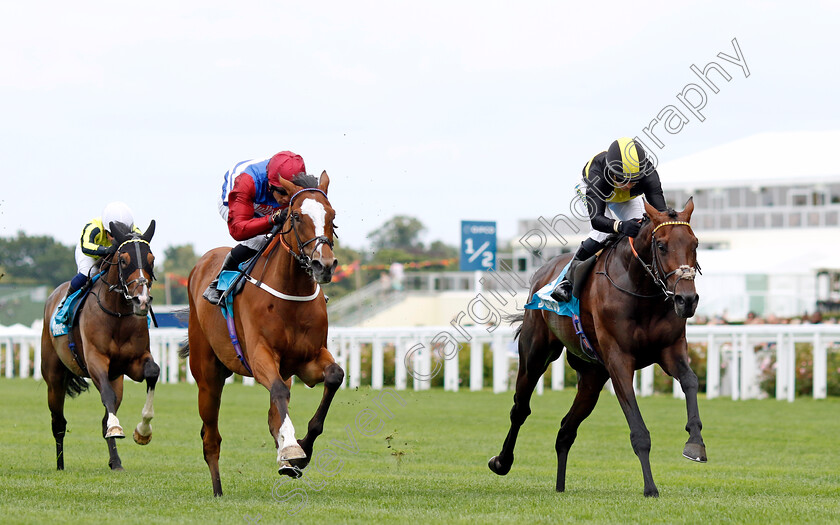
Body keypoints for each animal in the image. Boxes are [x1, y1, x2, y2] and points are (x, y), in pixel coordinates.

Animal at [40, 220, 159, 470]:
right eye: (123, 260)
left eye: (151, 259)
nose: (141, 301)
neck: (117, 315)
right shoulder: (95, 360)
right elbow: (106, 395)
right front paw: (117, 428)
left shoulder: (133, 362)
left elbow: (153, 372)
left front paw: (143, 431)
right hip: (54, 378)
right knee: (58, 422)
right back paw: (60, 465)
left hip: (117, 378)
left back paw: (115, 461)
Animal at [184, 172, 342, 496]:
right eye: (296, 216)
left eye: (332, 216)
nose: (323, 264)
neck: (291, 295)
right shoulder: (260, 357)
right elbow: (279, 392)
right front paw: (293, 449)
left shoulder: (308, 360)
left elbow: (334, 376)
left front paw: (300, 452)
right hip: (207, 377)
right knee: (211, 437)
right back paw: (218, 490)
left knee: (272, 416)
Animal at [488, 198, 704, 496]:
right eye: (661, 245)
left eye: (695, 244)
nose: (687, 300)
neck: (641, 291)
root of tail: (541, 273)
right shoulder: (619, 361)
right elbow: (639, 431)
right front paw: (650, 487)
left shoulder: (670, 350)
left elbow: (691, 381)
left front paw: (695, 443)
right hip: (535, 354)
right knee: (520, 408)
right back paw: (502, 462)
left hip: (592, 376)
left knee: (565, 430)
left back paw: (560, 487)